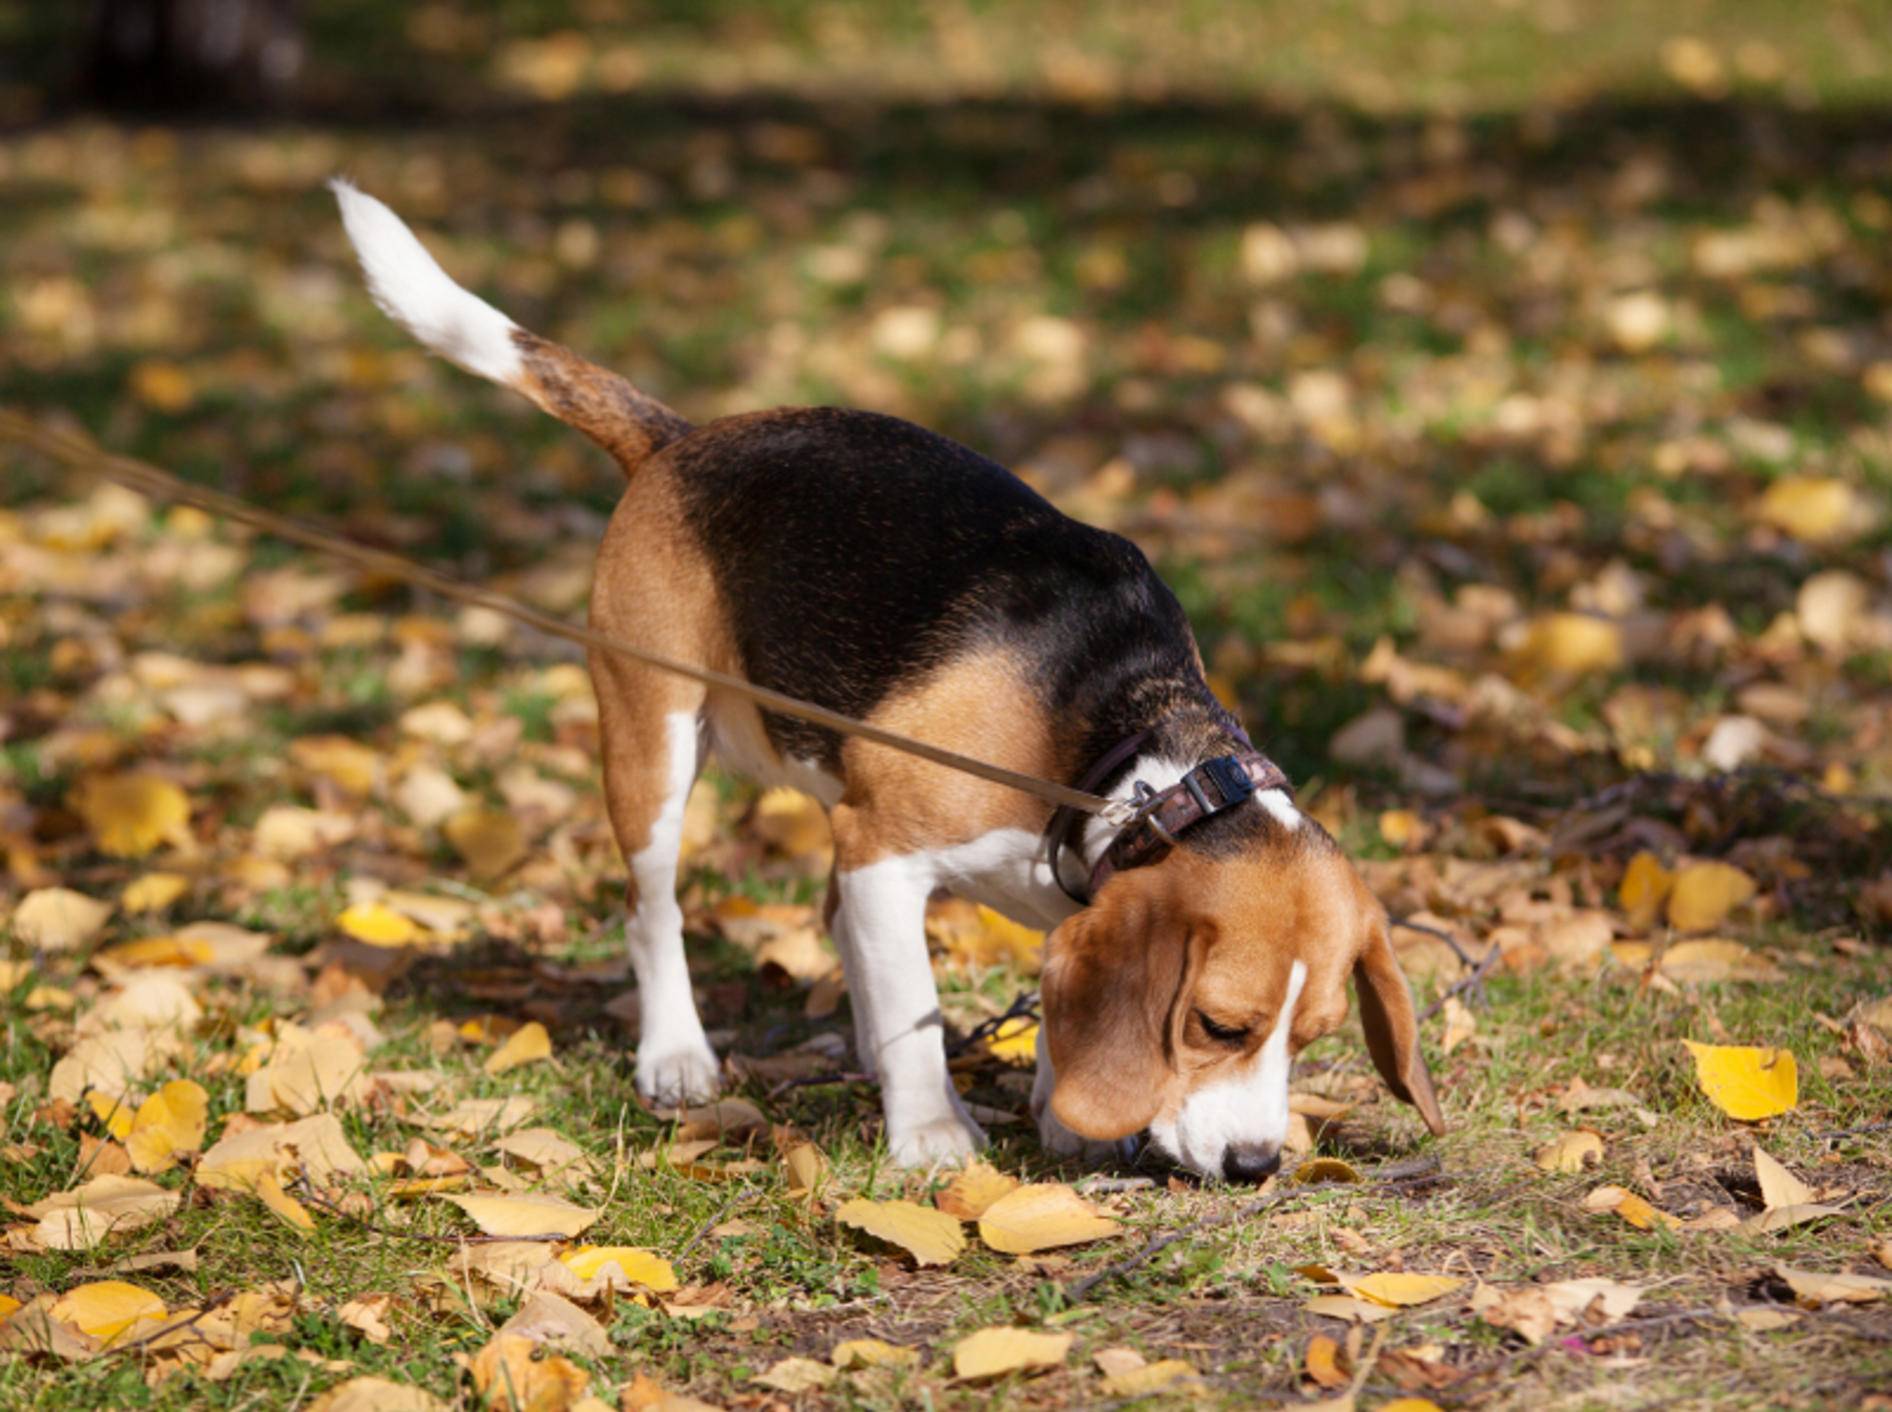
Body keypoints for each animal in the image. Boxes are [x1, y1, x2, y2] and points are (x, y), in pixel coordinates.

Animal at [332, 184, 1437, 1173]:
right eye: (1216, 1025)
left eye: (1311, 1037)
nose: (1254, 1164)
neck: (1120, 750)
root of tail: (683, 441)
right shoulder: (885, 849)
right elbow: (914, 1006)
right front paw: (934, 1136)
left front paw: (1063, 1115)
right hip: (652, 742)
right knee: (657, 912)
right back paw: (679, 1054)